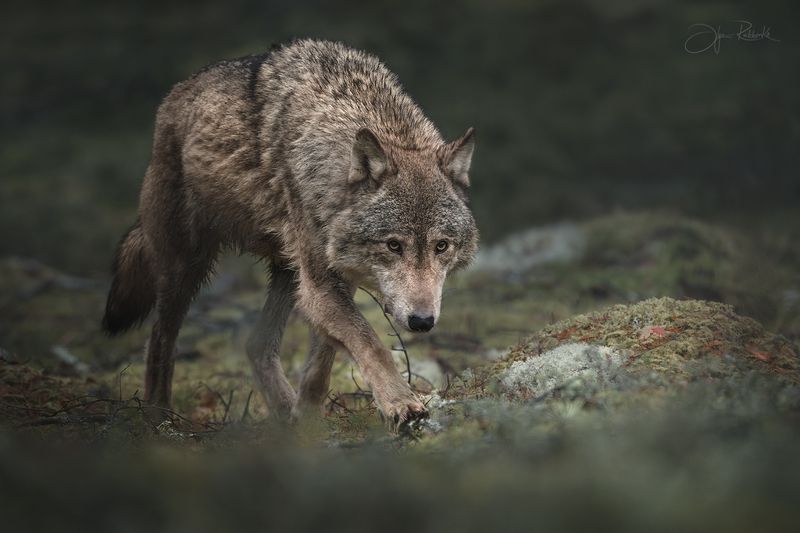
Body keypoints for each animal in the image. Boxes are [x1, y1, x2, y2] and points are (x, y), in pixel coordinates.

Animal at [102, 39, 478, 429]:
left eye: (441, 246)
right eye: (393, 245)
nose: (422, 322)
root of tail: (175, 93)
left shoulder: (334, 281)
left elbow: (321, 364)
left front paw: (306, 422)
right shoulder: (321, 285)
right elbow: (371, 343)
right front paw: (401, 404)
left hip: (286, 273)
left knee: (255, 343)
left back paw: (283, 417)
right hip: (185, 268)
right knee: (160, 339)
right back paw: (159, 417)